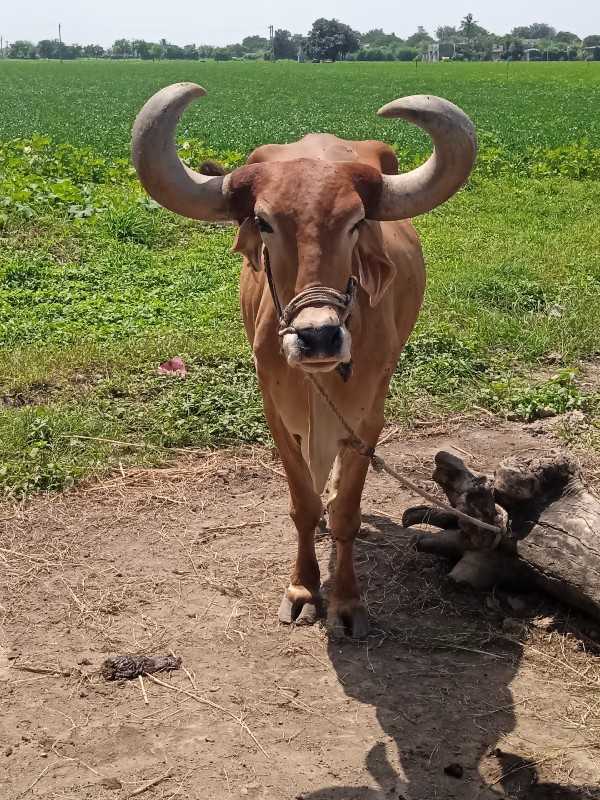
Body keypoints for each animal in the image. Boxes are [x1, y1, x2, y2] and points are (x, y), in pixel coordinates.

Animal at [132, 84, 478, 636]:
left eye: (356, 222)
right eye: (264, 221)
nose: (318, 337)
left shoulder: (370, 416)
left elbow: (346, 512)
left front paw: (346, 602)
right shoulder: (275, 415)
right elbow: (301, 504)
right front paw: (301, 589)